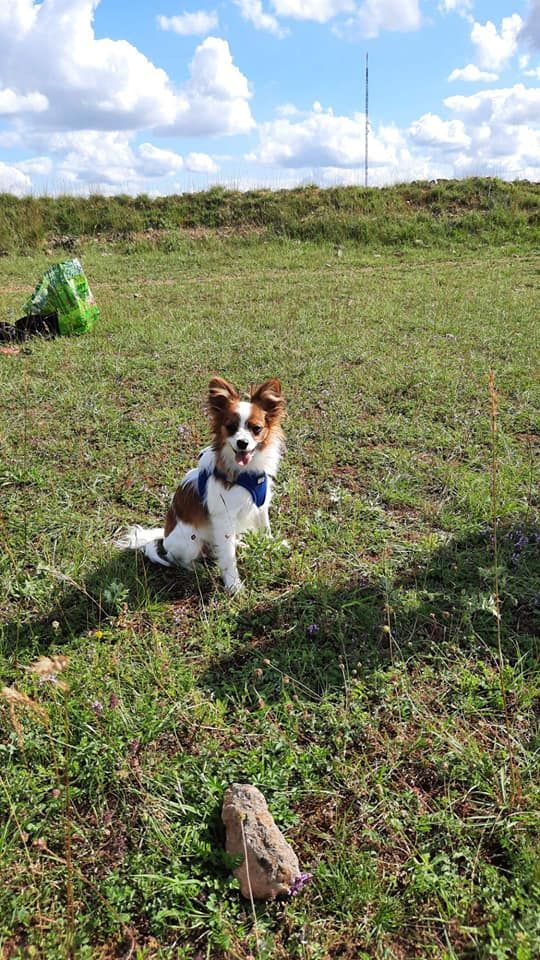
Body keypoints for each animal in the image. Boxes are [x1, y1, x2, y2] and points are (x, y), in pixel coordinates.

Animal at [117, 376, 286, 592]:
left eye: (256, 429)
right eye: (230, 427)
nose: (242, 443)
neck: (245, 474)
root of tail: (164, 536)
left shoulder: (261, 506)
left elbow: (266, 530)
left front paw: (273, 546)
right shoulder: (224, 518)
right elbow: (228, 557)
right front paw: (234, 585)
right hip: (191, 542)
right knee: (178, 559)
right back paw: (197, 568)